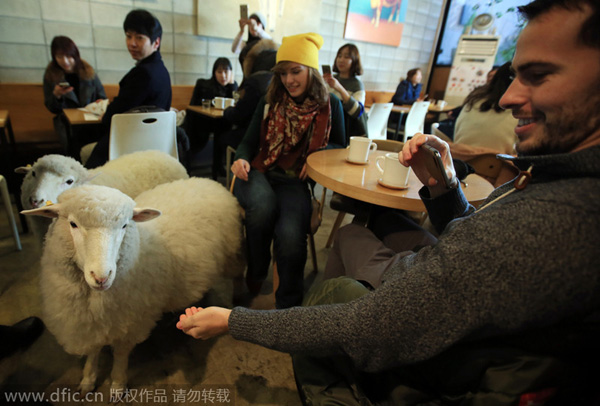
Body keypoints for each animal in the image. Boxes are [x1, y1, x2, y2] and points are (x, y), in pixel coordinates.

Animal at [23, 178, 244, 394]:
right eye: (73, 224)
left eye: (124, 226)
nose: (101, 277)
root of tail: (210, 181)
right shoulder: (87, 323)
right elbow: (93, 351)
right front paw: (88, 379)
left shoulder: (131, 320)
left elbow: (121, 353)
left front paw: (118, 384)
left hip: (232, 254)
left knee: (238, 273)